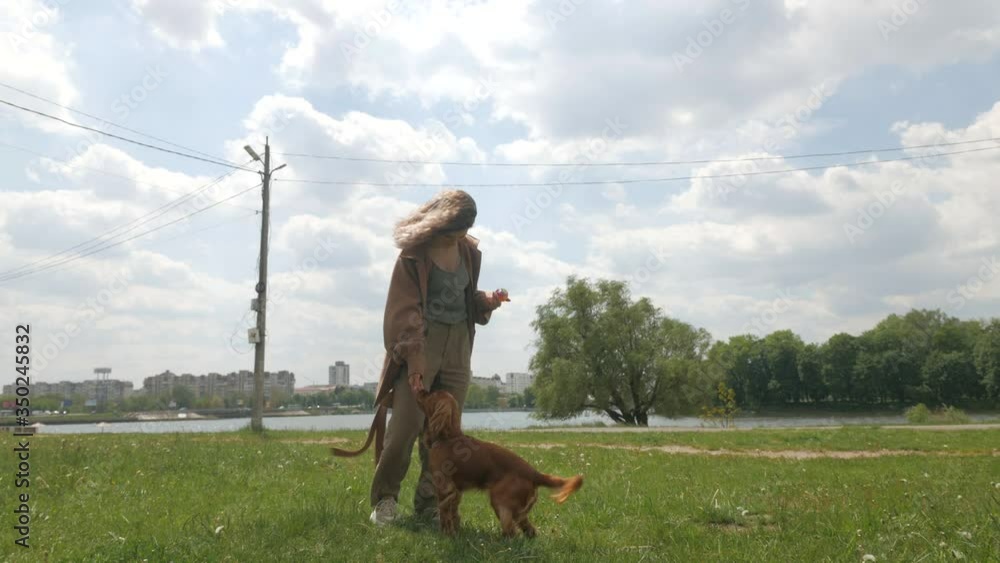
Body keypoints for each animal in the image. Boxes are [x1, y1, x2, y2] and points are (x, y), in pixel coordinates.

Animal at [415, 388, 583, 538]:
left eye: (432, 395)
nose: (423, 390)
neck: (449, 437)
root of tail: (535, 473)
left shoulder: (445, 487)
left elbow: (444, 514)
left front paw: (446, 534)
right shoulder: (456, 491)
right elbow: (452, 513)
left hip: (499, 500)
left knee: (512, 532)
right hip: (516, 510)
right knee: (529, 529)